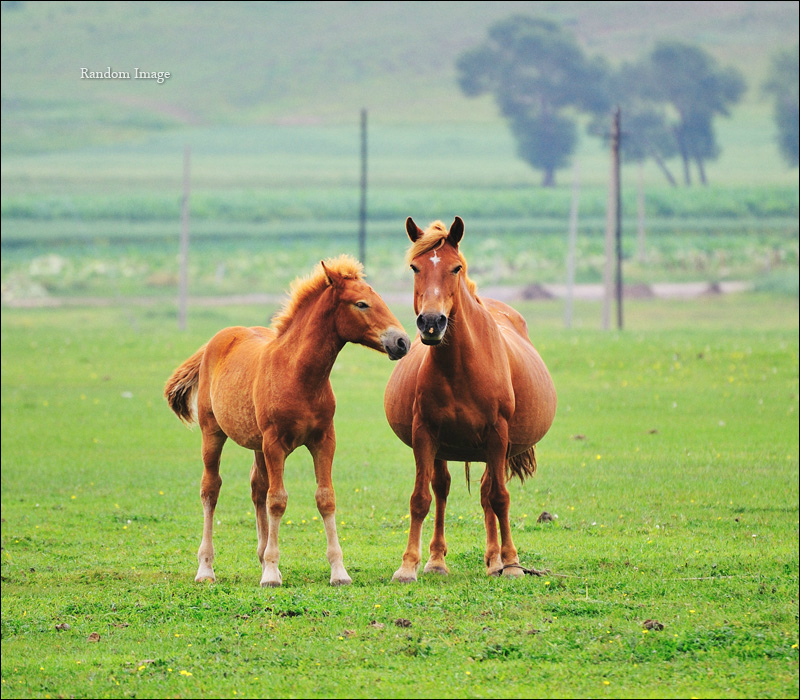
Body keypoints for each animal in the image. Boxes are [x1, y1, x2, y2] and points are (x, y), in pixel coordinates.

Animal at [165, 256, 410, 584]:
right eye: (361, 304)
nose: (402, 341)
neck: (297, 374)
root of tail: (215, 341)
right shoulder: (275, 444)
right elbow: (278, 499)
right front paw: (271, 572)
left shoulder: (323, 440)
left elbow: (325, 497)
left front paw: (338, 570)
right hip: (213, 432)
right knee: (211, 488)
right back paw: (206, 567)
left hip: (256, 444)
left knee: (257, 487)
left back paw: (260, 554)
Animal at [386, 217, 556, 580]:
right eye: (415, 267)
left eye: (456, 268)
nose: (431, 322)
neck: (462, 368)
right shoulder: (424, 435)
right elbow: (420, 499)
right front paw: (408, 565)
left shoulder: (498, 436)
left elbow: (500, 498)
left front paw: (512, 563)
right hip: (443, 449)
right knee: (443, 489)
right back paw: (437, 560)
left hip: (493, 450)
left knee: (488, 493)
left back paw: (495, 560)